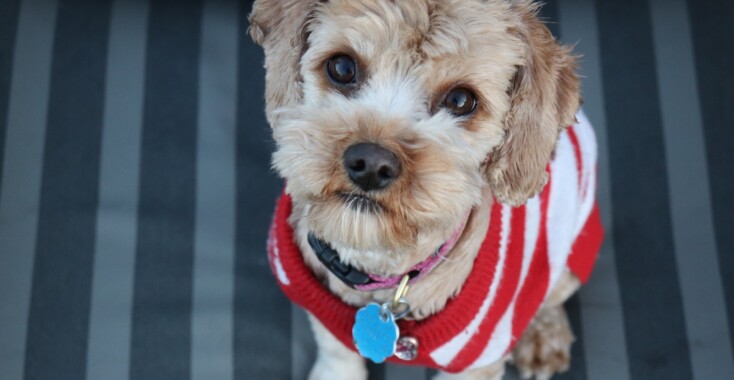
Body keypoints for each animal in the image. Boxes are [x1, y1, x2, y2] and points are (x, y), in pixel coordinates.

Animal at [250, 1, 608, 378]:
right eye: (343, 67)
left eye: (461, 100)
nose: (371, 164)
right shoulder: (324, 318)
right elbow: (336, 351)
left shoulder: (478, 360)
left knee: (550, 295)